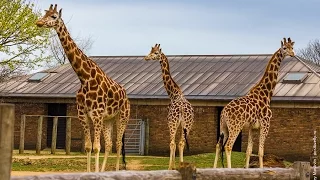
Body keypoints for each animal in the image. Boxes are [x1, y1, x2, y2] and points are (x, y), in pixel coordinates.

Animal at [35, 4, 130, 172]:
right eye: (45, 13)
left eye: (54, 16)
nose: (39, 22)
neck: (84, 78)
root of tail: (126, 95)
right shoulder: (83, 115)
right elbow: (88, 146)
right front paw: (91, 172)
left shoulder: (97, 115)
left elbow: (97, 147)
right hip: (108, 119)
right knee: (110, 144)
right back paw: (104, 171)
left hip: (122, 116)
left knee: (118, 144)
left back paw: (117, 171)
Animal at [212, 37, 296, 168]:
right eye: (284, 48)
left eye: (292, 47)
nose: (293, 54)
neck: (266, 94)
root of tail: (224, 112)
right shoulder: (265, 124)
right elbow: (261, 151)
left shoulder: (252, 127)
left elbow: (249, 150)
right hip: (235, 127)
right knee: (228, 146)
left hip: (223, 127)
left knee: (218, 145)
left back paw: (214, 168)